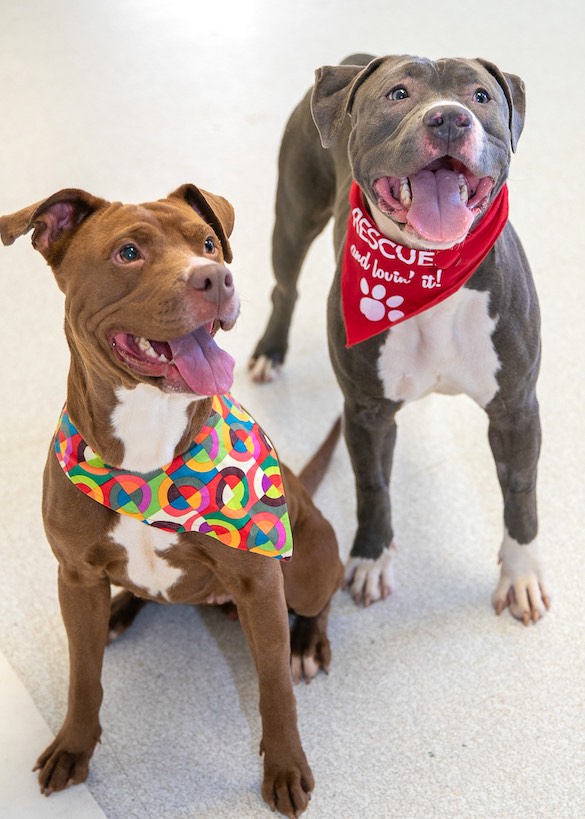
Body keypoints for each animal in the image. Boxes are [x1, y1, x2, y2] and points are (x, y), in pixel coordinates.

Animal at [1, 186, 342, 819]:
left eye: (207, 243)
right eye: (128, 252)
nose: (217, 278)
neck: (147, 456)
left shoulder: (261, 584)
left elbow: (274, 688)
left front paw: (285, 767)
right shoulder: (74, 575)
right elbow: (83, 676)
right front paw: (73, 747)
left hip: (306, 563)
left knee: (319, 597)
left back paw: (309, 642)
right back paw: (119, 611)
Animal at [250, 54, 548, 624]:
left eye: (480, 96)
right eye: (398, 94)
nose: (450, 119)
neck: (431, 272)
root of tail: (349, 61)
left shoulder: (516, 409)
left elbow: (520, 492)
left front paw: (521, 575)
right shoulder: (366, 412)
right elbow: (373, 487)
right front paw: (370, 559)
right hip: (293, 216)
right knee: (283, 287)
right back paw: (269, 352)